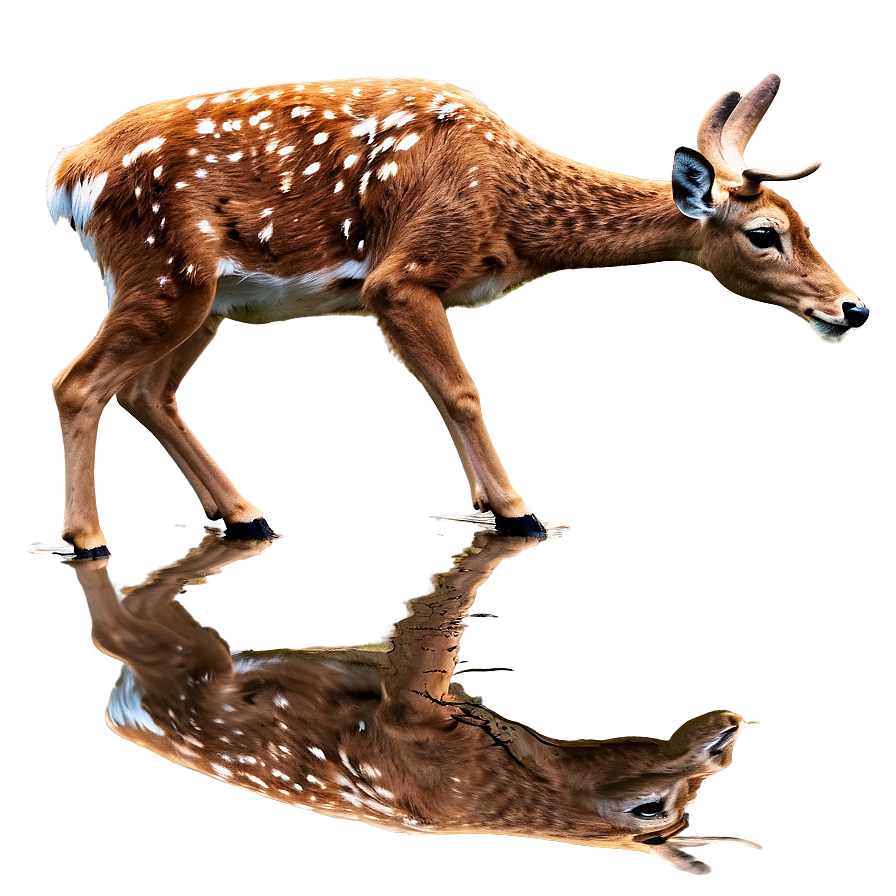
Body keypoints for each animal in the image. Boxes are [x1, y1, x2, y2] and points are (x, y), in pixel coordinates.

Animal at [46, 72, 868, 558]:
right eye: (764, 233)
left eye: (805, 223)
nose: (854, 307)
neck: (512, 212)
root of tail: (71, 176)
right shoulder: (401, 275)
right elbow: (462, 392)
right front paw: (519, 511)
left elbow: (440, 396)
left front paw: (482, 502)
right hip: (164, 273)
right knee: (77, 384)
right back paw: (87, 538)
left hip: (212, 299)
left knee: (147, 392)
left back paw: (243, 513)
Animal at [68, 527, 757, 873]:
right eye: (653, 806)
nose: (728, 728)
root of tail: (123, 718)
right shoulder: (411, 711)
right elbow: (434, 627)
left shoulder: (409, 711)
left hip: (193, 664)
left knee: (126, 622)